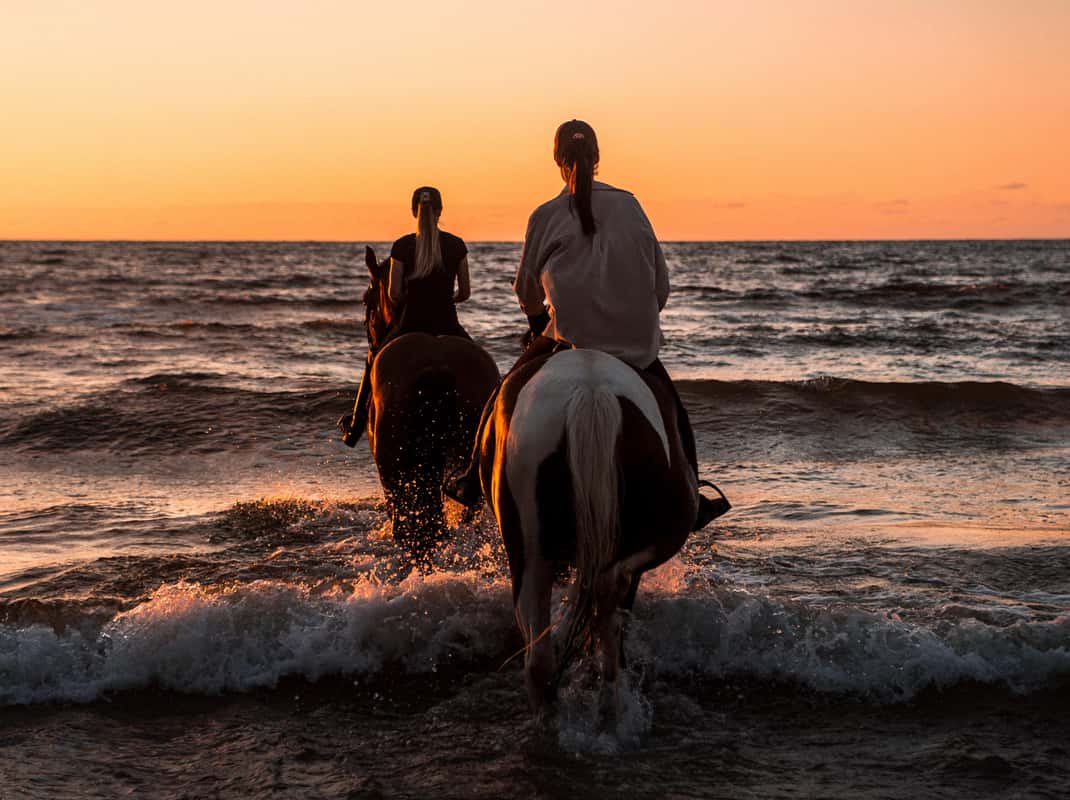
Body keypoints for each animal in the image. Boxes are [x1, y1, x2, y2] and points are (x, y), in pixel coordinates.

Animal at [477, 347, 700, 718]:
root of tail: (591, 394)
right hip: (667, 524)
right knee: (607, 590)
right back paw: (608, 701)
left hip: (530, 556)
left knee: (542, 653)